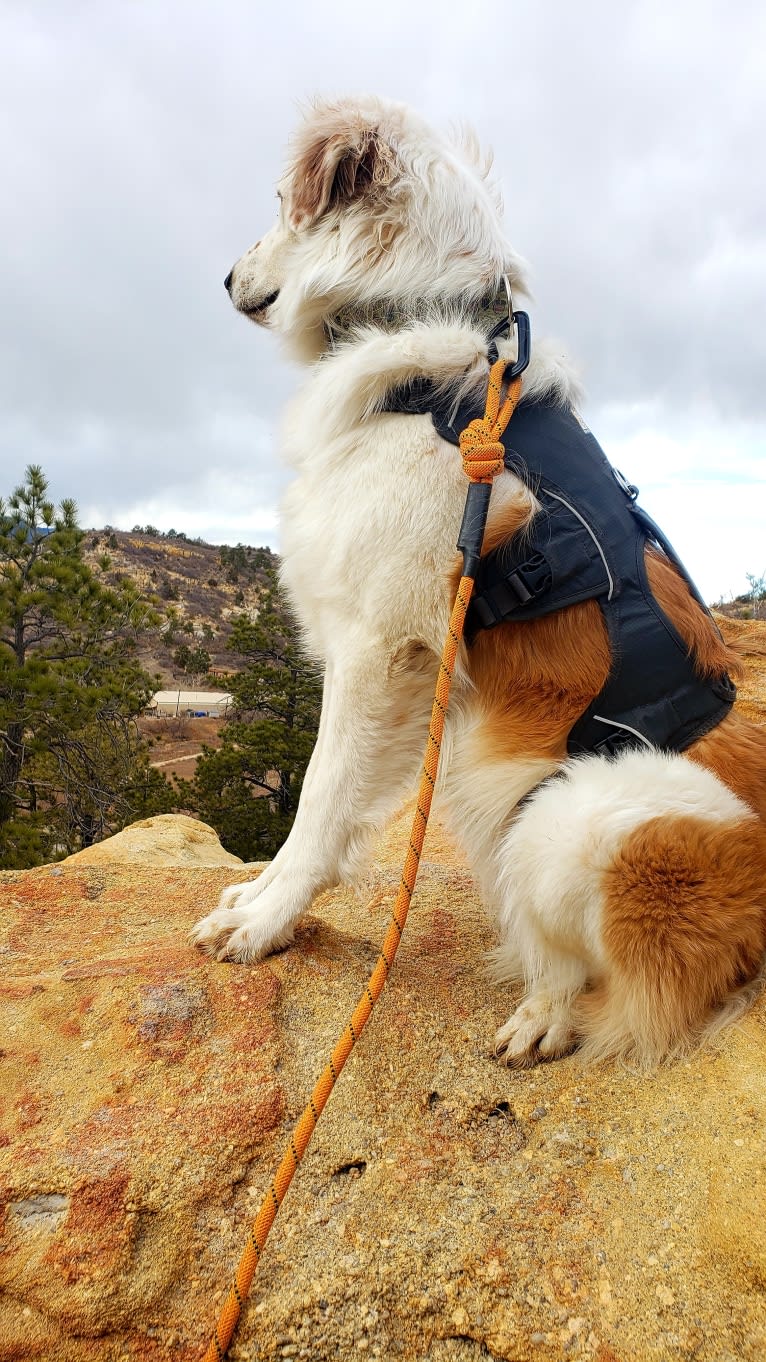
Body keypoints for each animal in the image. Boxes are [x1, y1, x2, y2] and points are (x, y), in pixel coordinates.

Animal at [189, 100, 763, 1067]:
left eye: (279, 204)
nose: (225, 278)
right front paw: (261, 896)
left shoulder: (377, 648)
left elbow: (318, 795)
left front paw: (266, 920)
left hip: (569, 809)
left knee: (639, 986)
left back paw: (545, 1013)